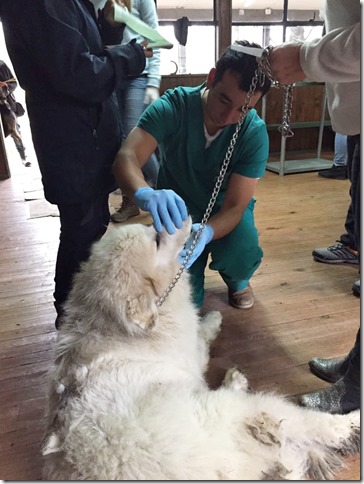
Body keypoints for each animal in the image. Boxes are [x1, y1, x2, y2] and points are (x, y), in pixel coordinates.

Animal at [42, 219, 358, 480]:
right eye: (157, 239)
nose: (185, 217)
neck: (112, 325)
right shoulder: (190, 353)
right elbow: (202, 334)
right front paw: (213, 318)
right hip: (241, 409)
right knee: (319, 425)